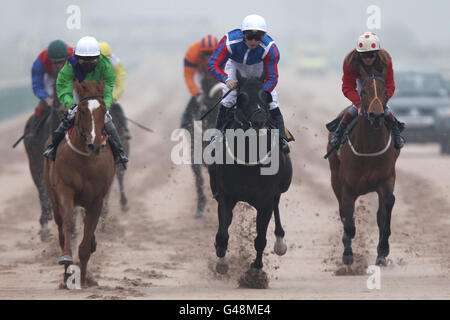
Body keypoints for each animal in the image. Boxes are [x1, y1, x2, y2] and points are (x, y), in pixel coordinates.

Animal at [43, 80, 115, 288]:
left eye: (103, 109)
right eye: (81, 110)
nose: (94, 144)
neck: (85, 160)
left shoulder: (97, 199)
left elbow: (87, 235)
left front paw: (83, 280)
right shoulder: (65, 191)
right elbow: (68, 225)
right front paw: (67, 260)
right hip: (53, 199)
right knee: (61, 228)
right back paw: (66, 274)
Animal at [208, 70, 292, 284]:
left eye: (266, 96)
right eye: (241, 98)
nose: (259, 121)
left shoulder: (265, 200)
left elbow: (260, 238)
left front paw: (255, 272)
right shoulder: (226, 196)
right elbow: (222, 234)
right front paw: (222, 261)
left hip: (281, 186)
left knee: (277, 203)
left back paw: (280, 242)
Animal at [326, 66, 400, 266]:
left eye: (385, 92)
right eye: (364, 91)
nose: (377, 115)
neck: (369, 146)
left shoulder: (387, 179)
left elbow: (386, 208)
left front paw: (383, 250)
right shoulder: (347, 187)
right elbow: (348, 219)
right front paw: (347, 252)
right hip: (334, 177)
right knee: (343, 212)